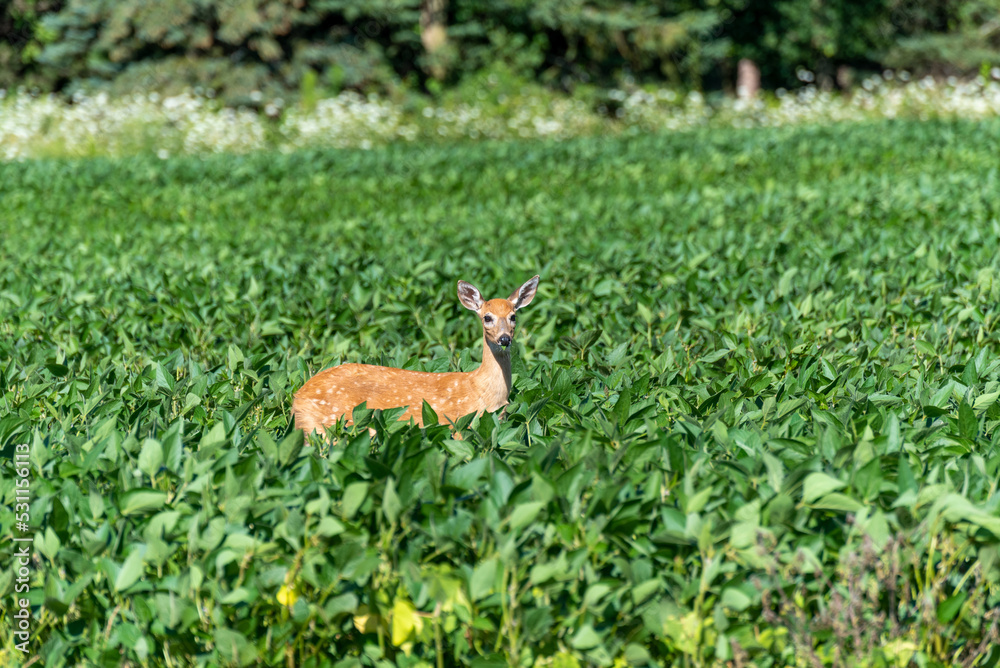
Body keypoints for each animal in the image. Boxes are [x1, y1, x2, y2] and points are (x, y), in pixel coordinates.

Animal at [290, 276, 540, 436]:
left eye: (513, 316)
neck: (483, 392)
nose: (504, 339)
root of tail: (297, 399)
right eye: (487, 317)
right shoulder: (460, 424)